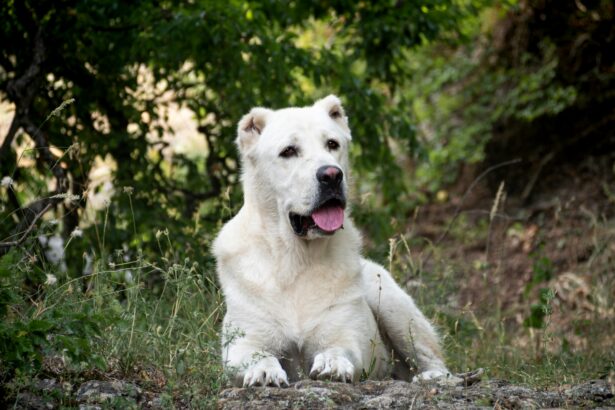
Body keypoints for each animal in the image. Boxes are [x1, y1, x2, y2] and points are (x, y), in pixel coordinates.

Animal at [214, 96, 450, 388]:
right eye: (288, 151)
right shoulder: (242, 342)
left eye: (332, 144)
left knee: (431, 357)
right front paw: (264, 371)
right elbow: (256, 355)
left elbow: (340, 348)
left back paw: (433, 377)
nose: (331, 175)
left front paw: (332, 363)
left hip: (392, 303)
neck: (295, 258)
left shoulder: (348, 336)